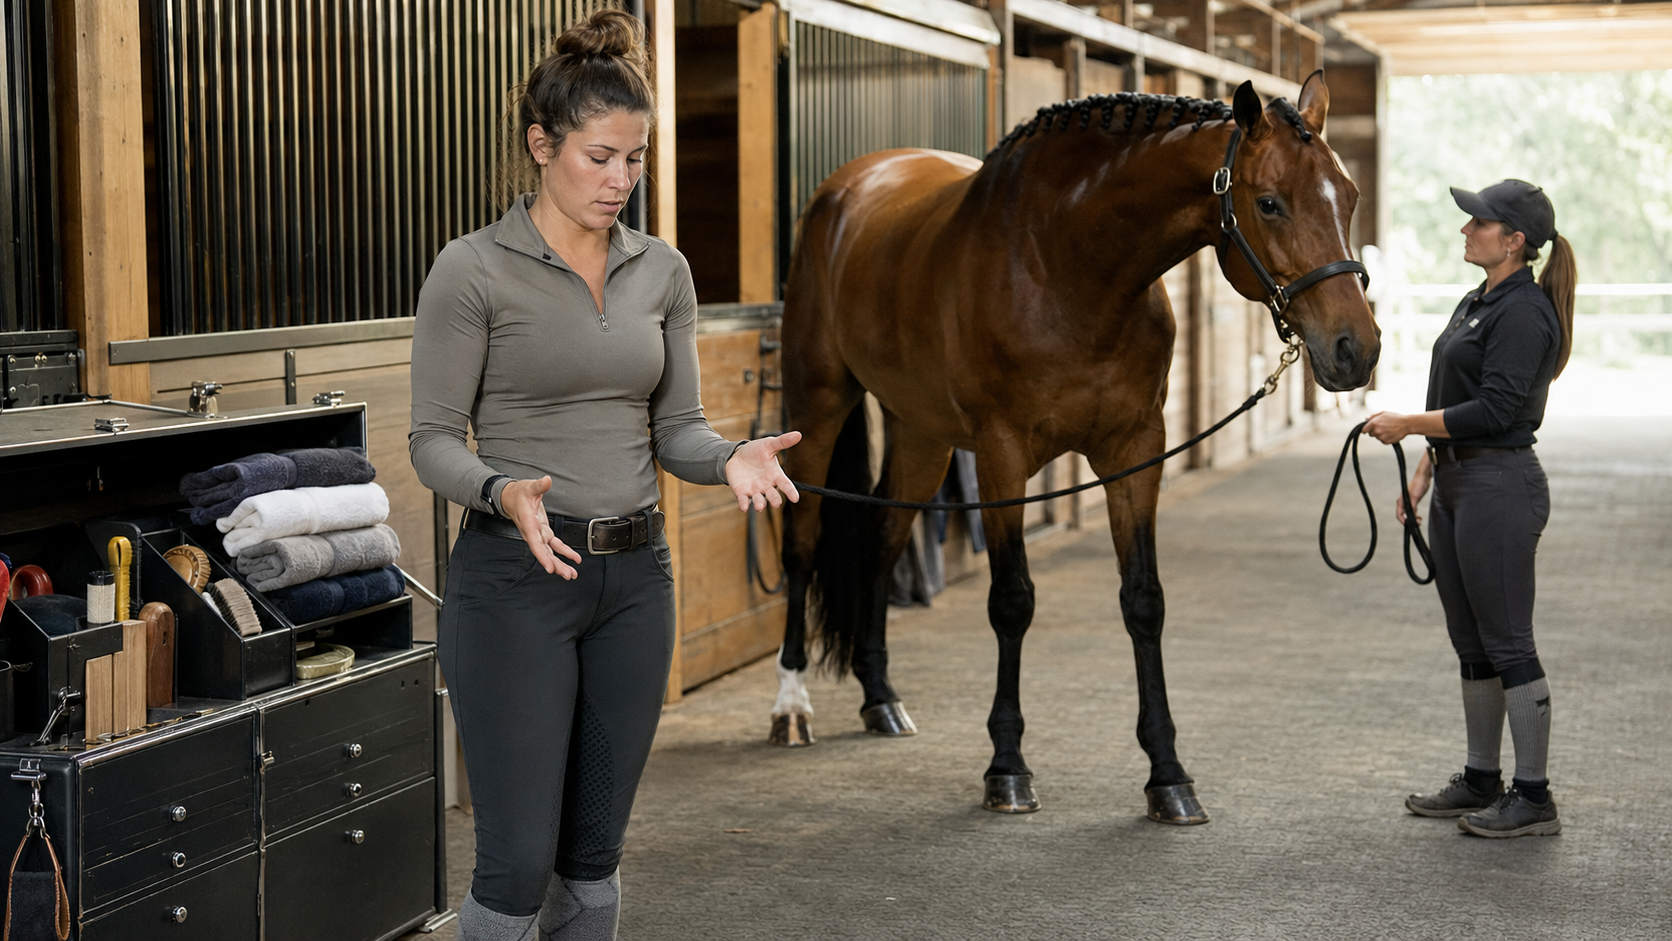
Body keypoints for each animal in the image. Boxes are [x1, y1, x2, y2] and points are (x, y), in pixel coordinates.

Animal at [768, 72, 1379, 822]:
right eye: (1269, 203)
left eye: (1348, 196)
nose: (1357, 350)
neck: (1066, 264)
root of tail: (845, 190)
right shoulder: (1002, 456)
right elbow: (1012, 600)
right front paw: (1007, 768)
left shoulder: (1135, 450)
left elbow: (1143, 600)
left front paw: (1169, 775)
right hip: (818, 402)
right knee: (802, 539)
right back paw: (791, 706)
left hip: (922, 429)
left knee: (884, 537)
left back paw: (881, 698)